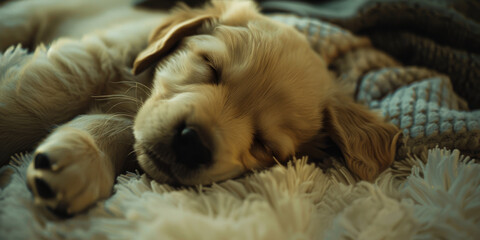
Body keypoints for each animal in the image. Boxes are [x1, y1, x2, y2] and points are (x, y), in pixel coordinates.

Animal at [0, 0, 400, 214]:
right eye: (210, 67)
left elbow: (119, 128)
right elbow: (41, 94)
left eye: (265, 145)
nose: (192, 143)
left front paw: (80, 163)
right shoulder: (95, 57)